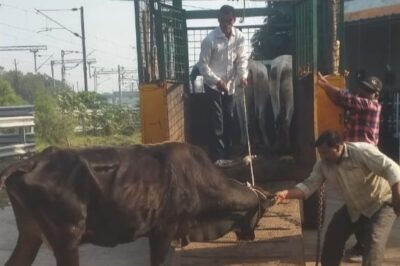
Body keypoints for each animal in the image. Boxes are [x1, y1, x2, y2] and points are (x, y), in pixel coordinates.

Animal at [0, 142, 274, 264]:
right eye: (260, 213)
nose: (250, 236)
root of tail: (32, 161)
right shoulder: (163, 231)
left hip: (30, 236)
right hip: (67, 239)